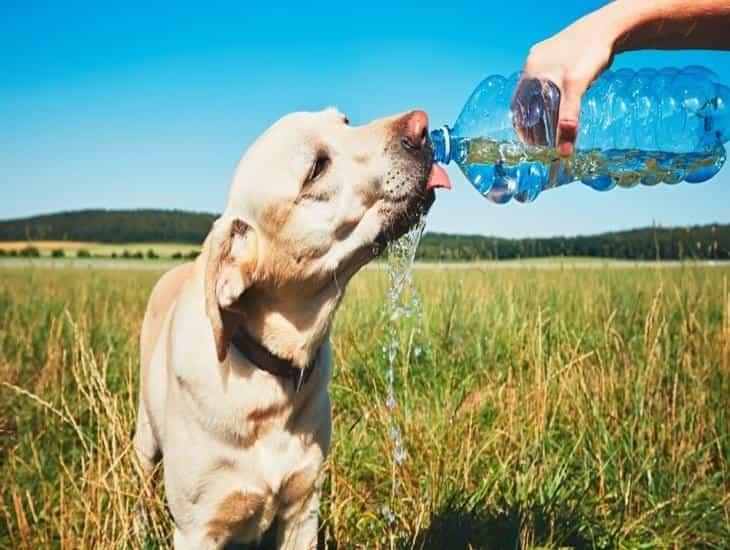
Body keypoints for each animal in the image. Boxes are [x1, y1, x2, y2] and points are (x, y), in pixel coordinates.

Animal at [132, 109, 450, 550]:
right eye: (317, 168)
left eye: (345, 121)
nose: (421, 125)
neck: (270, 375)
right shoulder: (198, 528)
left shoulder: (303, 507)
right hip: (145, 435)